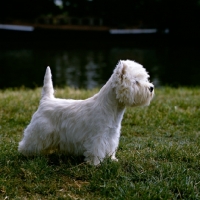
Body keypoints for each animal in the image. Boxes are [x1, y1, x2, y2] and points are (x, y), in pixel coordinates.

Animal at [18, 59, 154, 166]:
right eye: (136, 81)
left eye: (146, 78)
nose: (151, 88)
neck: (114, 109)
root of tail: (46, 100)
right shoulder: (97, 136)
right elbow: (96, 150)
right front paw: (95, 164)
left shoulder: (112, 135)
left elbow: (110, 148)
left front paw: (112, 159)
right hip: (39, 131)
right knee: (27, 143)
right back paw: (25, 154)